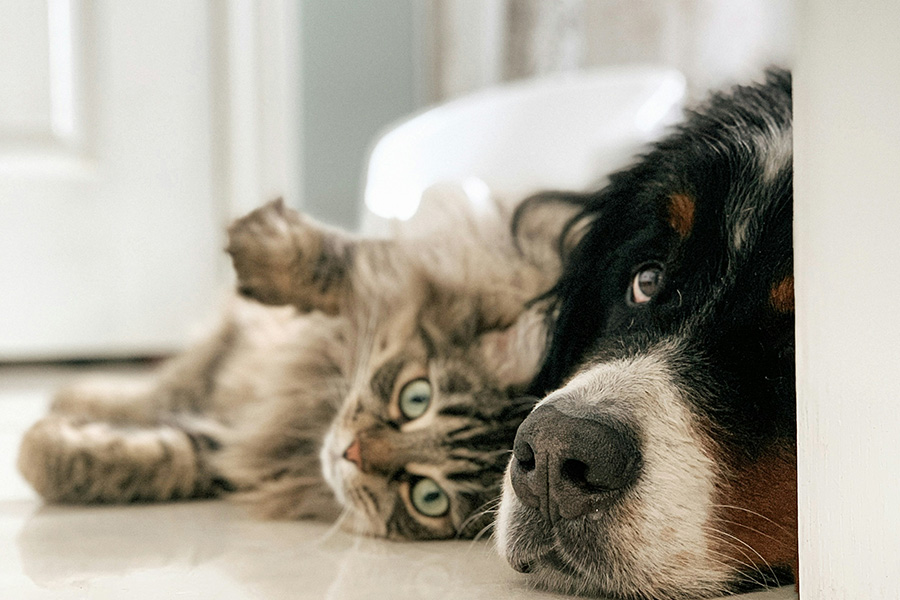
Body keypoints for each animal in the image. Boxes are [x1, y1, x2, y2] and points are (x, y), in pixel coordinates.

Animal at [17, 186, 568, 540]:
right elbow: (343, 263)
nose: (351, 453)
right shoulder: (424, 271)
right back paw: (75, 394)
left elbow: (156, 458)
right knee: (162, 387)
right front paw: (260, 244)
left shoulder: (234, 451)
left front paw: (37, 448)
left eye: (428, 497)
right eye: (416, 398)